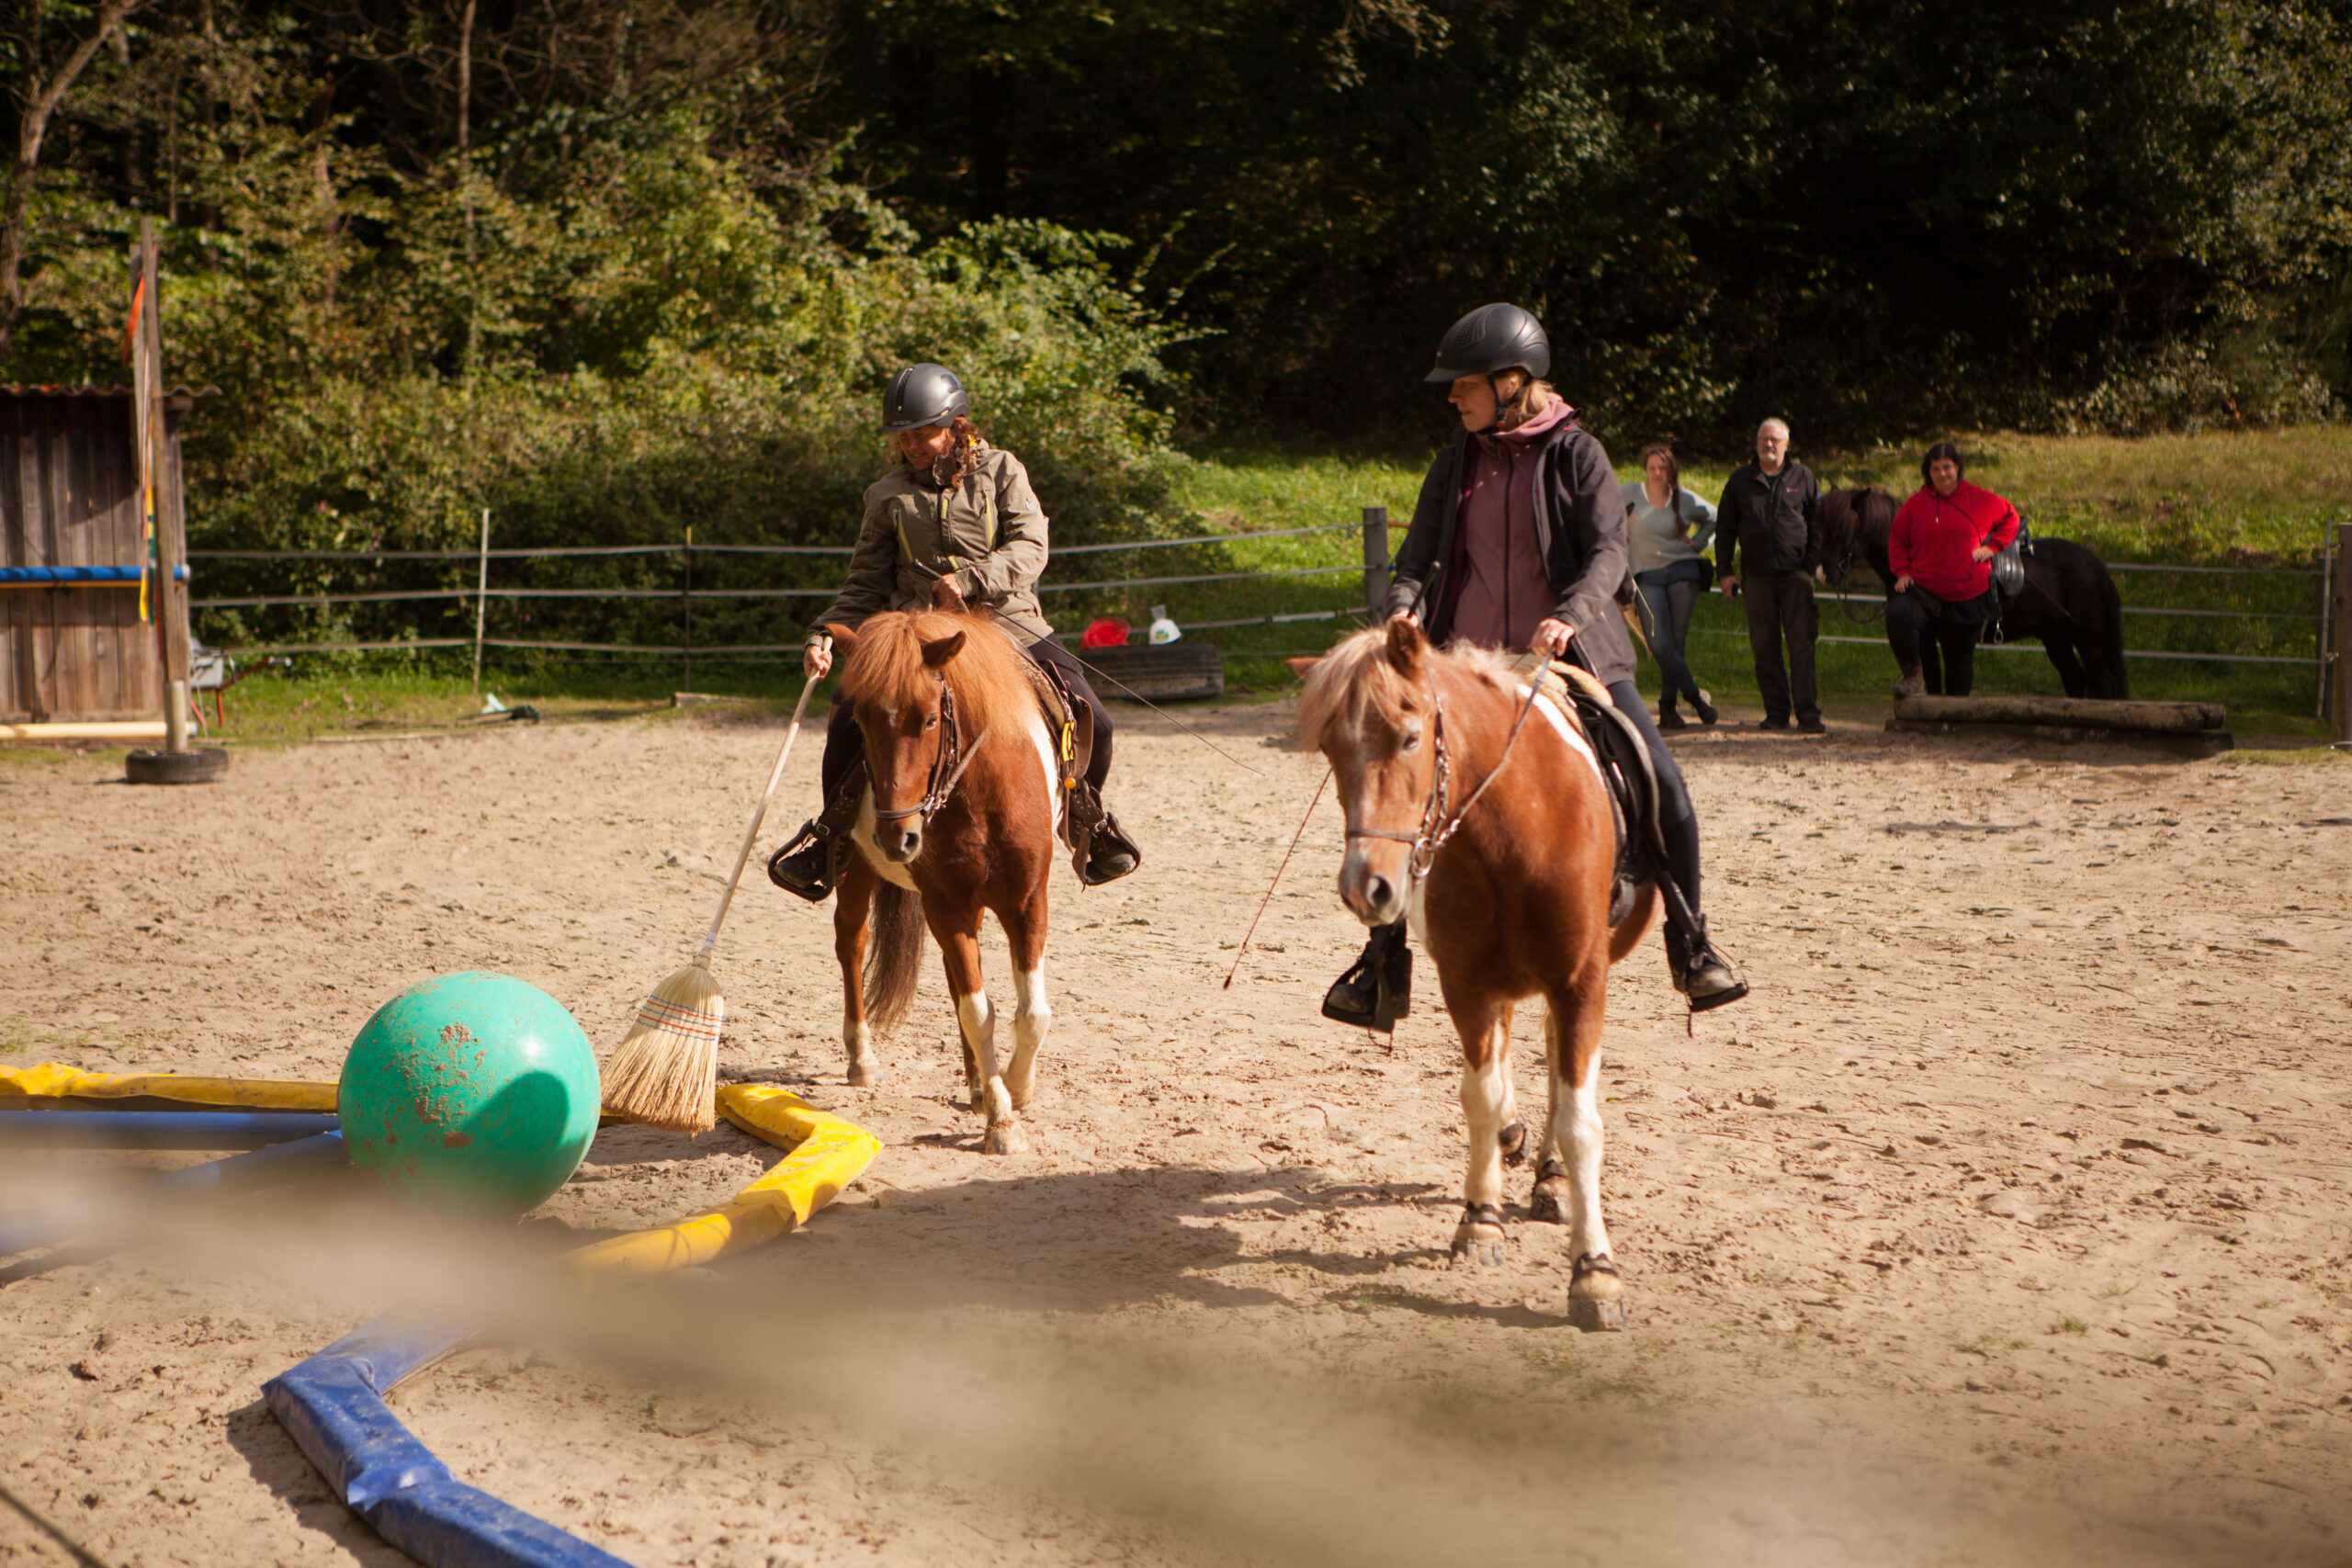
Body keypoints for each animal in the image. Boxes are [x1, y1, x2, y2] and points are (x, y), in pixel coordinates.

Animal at [1298, 620, 1665, 1335]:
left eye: (1411, 736)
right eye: (1331, 748)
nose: (1366, 888)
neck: (1515, 829)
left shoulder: (1581, 982)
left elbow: (1581, 1122)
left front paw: (1594, 1272)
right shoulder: (1467, 984)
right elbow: (1481, 1096)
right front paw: (1480, 1219)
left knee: (1552, 1061)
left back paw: (1550, 1177)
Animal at [1815, 491, 2135, 700]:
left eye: (1844, 527)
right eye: (1821, 525)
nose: (1823, 572)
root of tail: (2099, 568)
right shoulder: (1927, 636)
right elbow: (1933, 680)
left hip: (2088, 639)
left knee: (2100, 683)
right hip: (2056, 638)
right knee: (2074, 678)